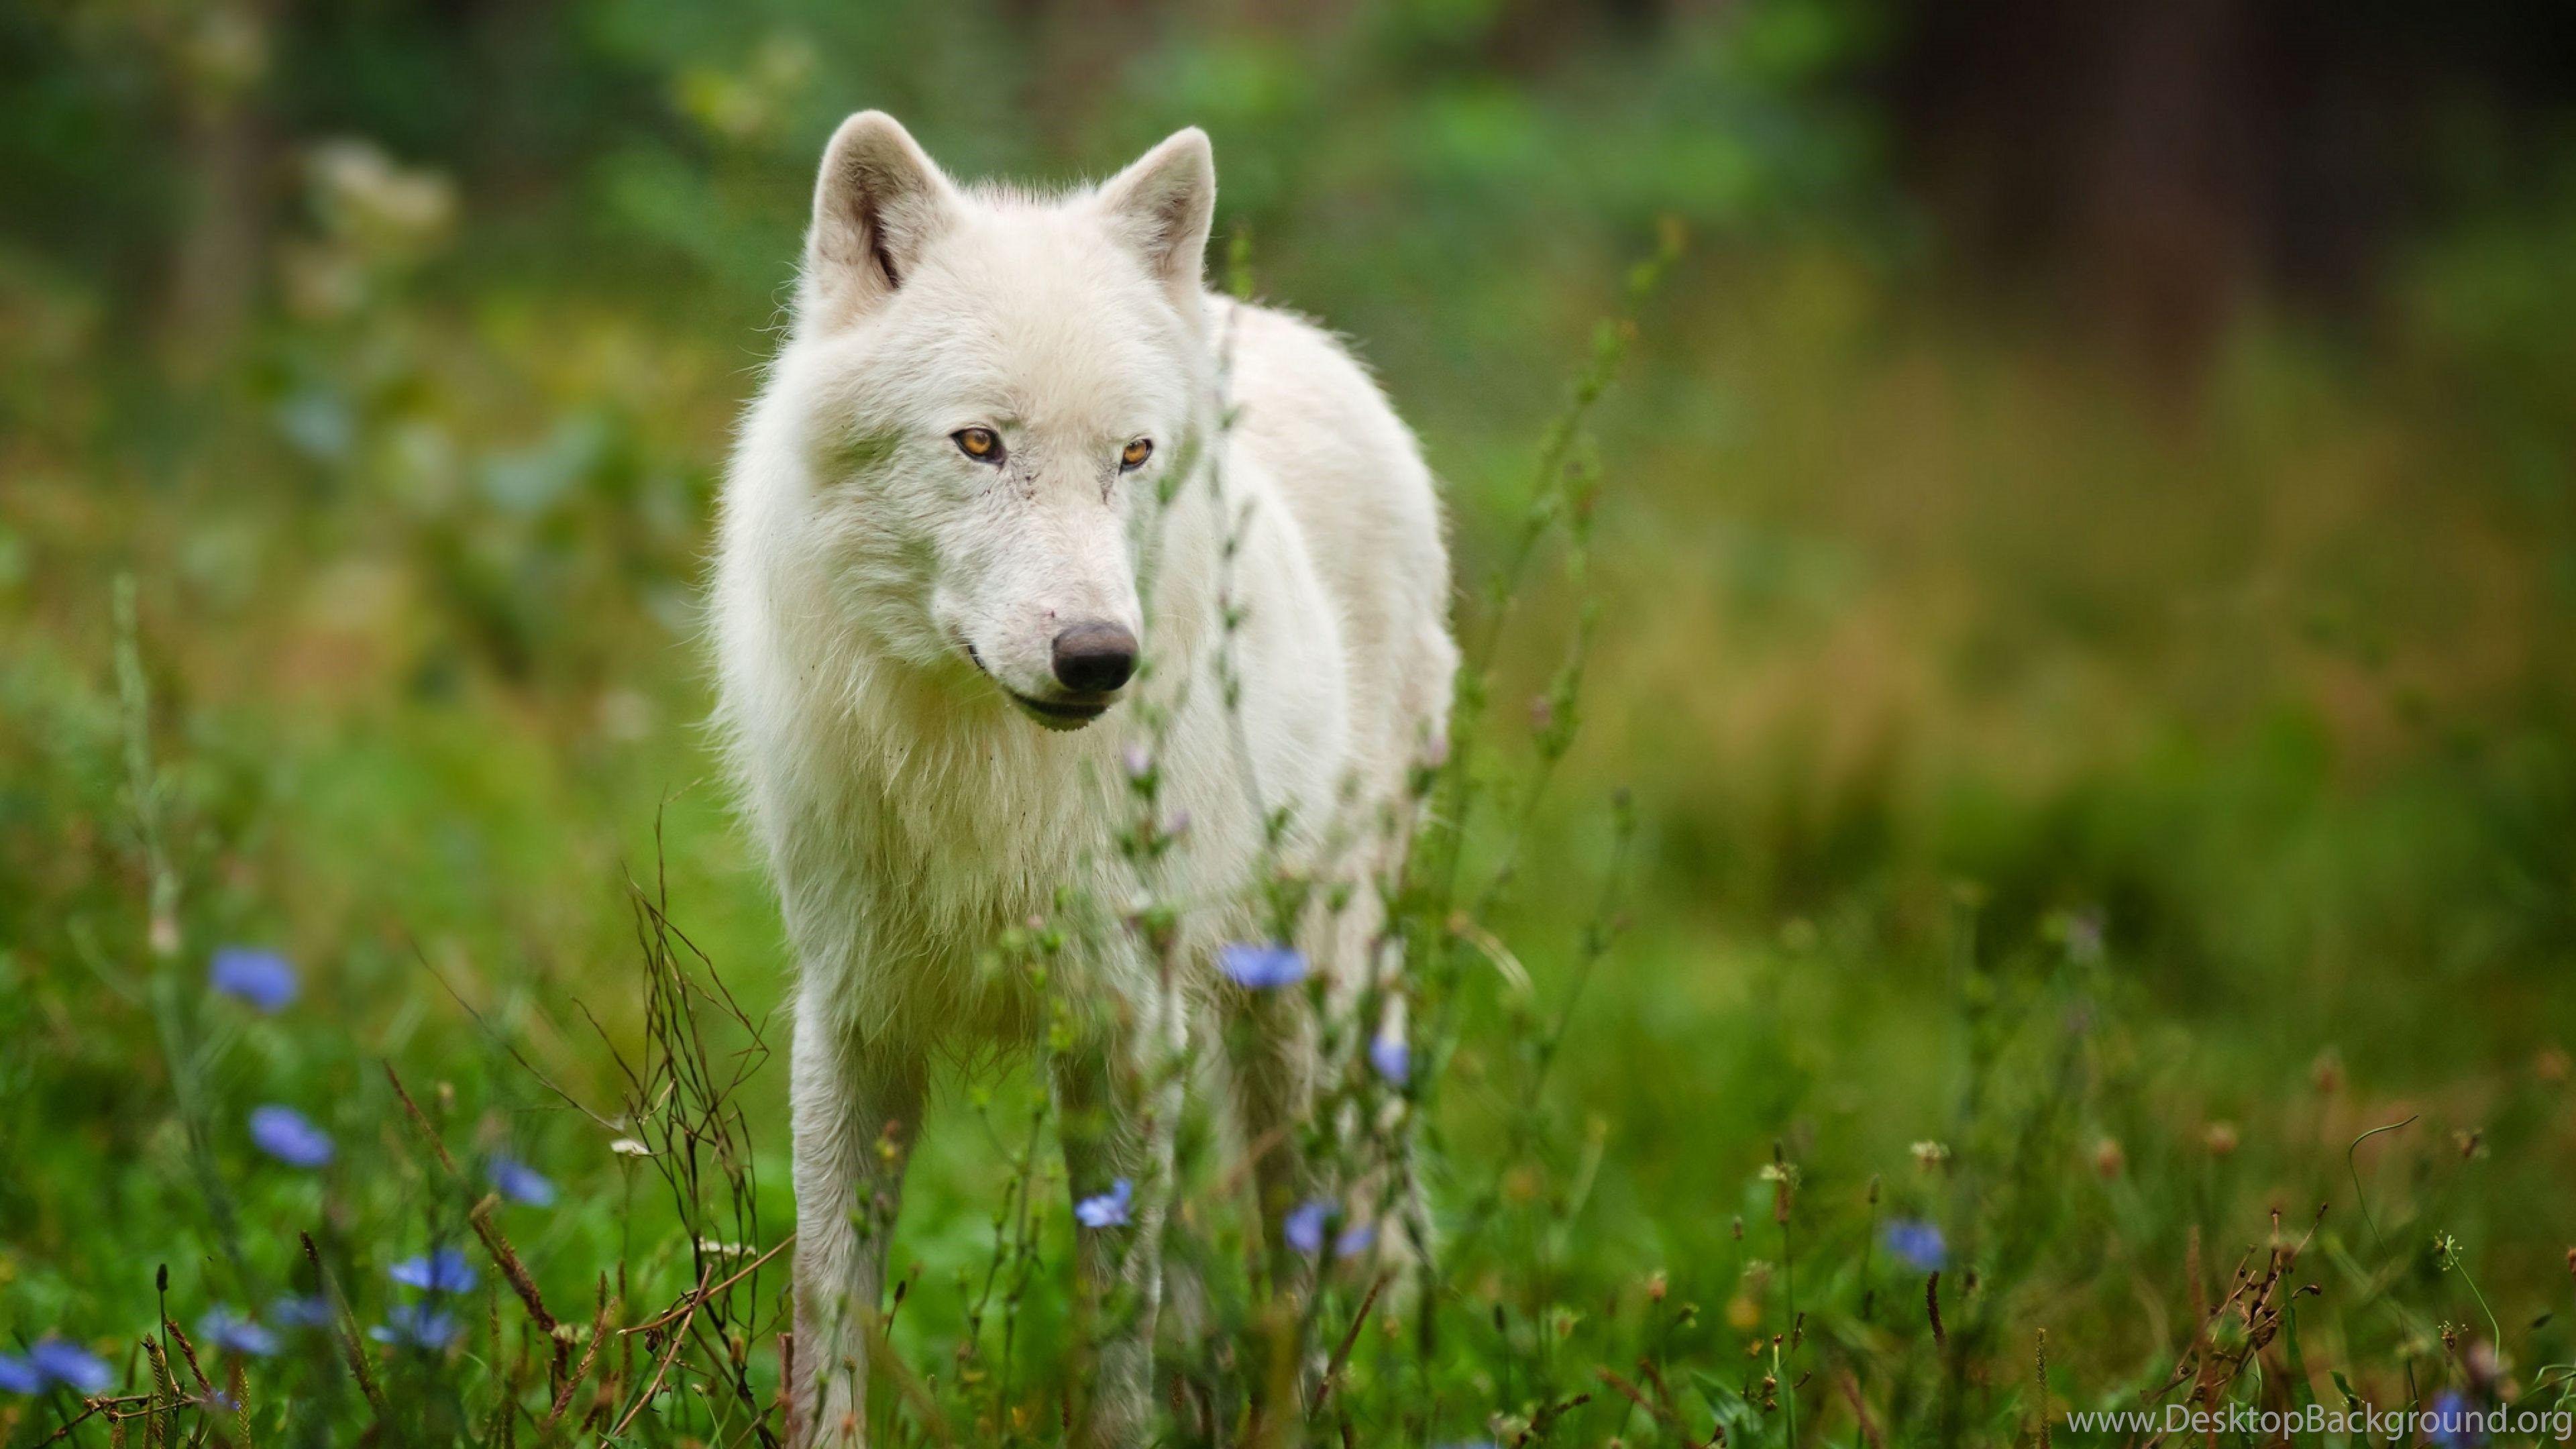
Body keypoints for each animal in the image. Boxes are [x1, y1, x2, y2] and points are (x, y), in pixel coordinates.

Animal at [710, 111, 1456, 1445]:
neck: (982, 771)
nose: (1101, 657)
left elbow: (1121, 1321)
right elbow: (830, 1300)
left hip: (1305, 1015)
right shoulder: (853, 1015)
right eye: (980, 443)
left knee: (1304, 1263)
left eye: (1133, 456)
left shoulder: (1122, 1023)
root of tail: (1273, 324)